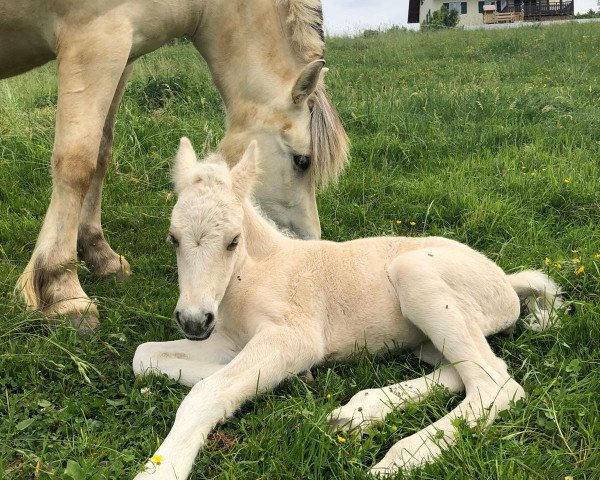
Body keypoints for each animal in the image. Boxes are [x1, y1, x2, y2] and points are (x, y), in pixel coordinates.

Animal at [1, 0, 346, 330]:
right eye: (302, 161)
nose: (307, 245)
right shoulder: (95, 43)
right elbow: (77, 164)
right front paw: (62, 291)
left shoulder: (121, 57)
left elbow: (101, 152)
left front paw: (100, 255)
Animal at [135, 138, 564, 476]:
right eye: (173, 238)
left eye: (233, 240)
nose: (193, 321)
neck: (250, 276)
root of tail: (506, 283)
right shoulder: (229, 340)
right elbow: (144, 358)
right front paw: (293, 378)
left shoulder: (294, 335)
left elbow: (207, 391)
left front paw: (162, 468)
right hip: (432, 334)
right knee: (462, 369)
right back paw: (356, 413)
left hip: (417, 275)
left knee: (496, 384)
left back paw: (398, 460)